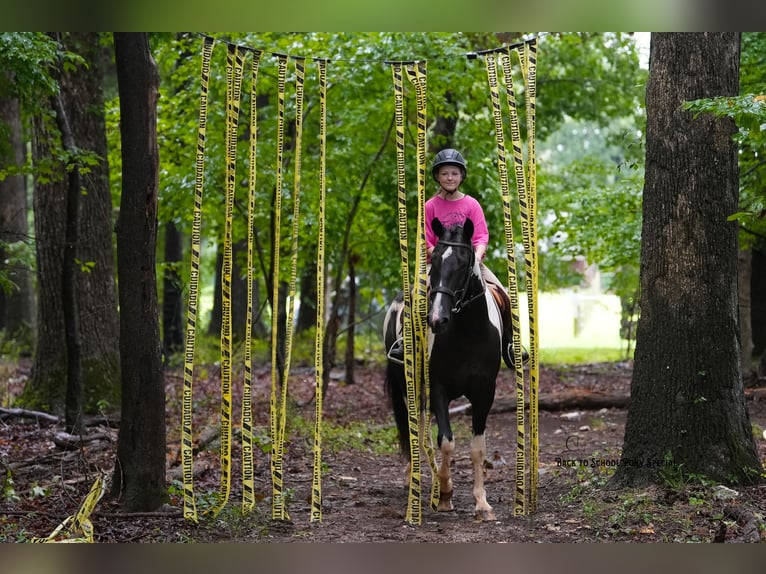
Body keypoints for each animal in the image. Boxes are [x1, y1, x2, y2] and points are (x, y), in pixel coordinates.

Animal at [383, 217, 502, 521]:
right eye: (434, 262)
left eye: (462, 264)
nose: (437, 319)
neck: (468, 333)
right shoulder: (439, 388)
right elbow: (446, 440)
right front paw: (446, 494)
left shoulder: (485, 392)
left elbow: (477, 448)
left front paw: (481, 503)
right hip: (407, 386)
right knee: (414, 428)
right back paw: (416, 476)